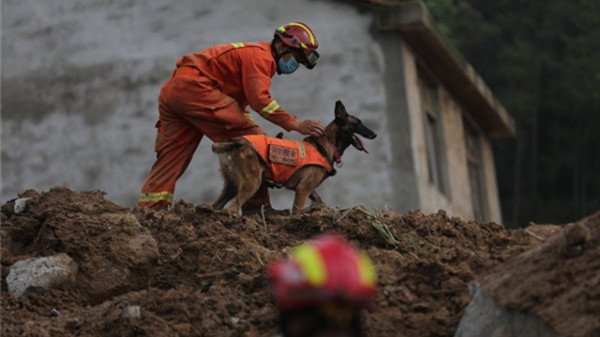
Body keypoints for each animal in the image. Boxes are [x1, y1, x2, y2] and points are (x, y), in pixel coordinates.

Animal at [211, 100, 376, 215]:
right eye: (358, 123)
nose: (375, 134)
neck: (328, 143)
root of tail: (234, 141)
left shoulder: (310, 190)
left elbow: (320, 201)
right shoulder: (303, 189)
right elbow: (297, 211)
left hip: (232, 185)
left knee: (217, 206)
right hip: (252, 183)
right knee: (232, 207)